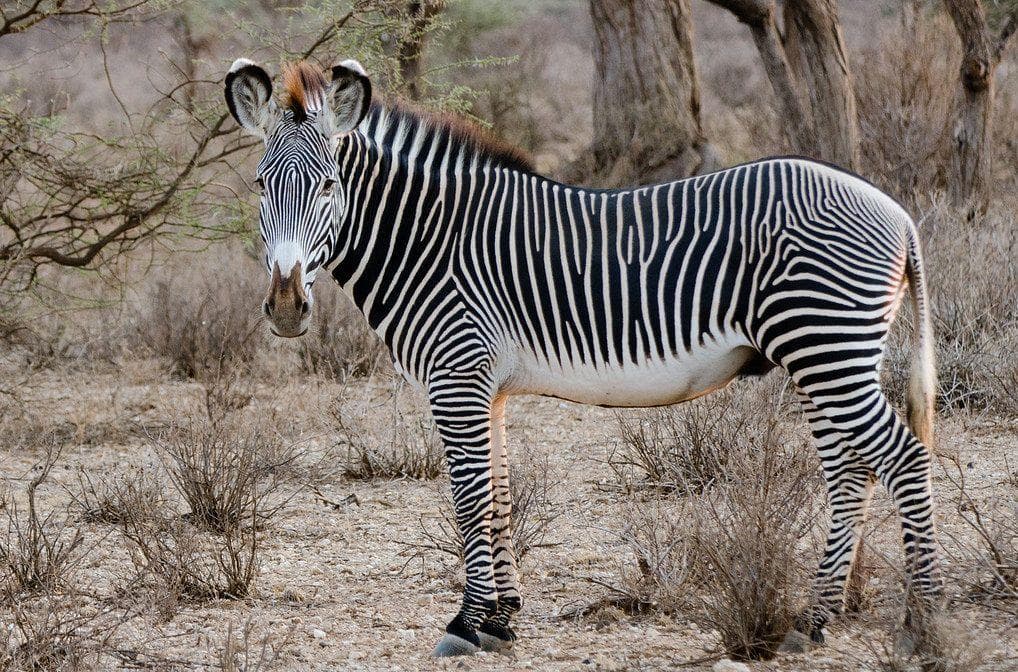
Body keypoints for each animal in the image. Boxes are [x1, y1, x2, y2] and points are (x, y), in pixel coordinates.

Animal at [225, 58, 941, 658]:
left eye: (328, 186)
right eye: (259, 186)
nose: (286, 306)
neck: (429, 239)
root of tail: (896, 210)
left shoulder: (456, 374)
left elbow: (469, 497)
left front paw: (466, 625)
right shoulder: (489, 387)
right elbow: (498, 493)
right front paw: (502, 620)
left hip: (826, 345)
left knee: (902, 459)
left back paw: (923, 621)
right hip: (823, 356)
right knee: (850, 471)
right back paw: (813, 620)